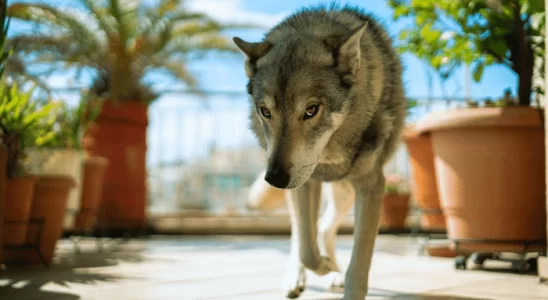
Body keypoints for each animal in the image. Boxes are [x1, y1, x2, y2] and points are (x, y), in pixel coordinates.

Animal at [232, 2, 406, 300]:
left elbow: (358, 263)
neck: (328, 157)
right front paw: (321, 266)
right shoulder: (304, 183)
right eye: (265, 111)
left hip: (346, 193)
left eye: (311, 110)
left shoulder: (371, 185)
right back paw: (301, 277)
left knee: (324, 227)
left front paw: (340, 276)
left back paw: (335, 272)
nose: (274, 178)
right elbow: (307, 248)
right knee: (305, 233)